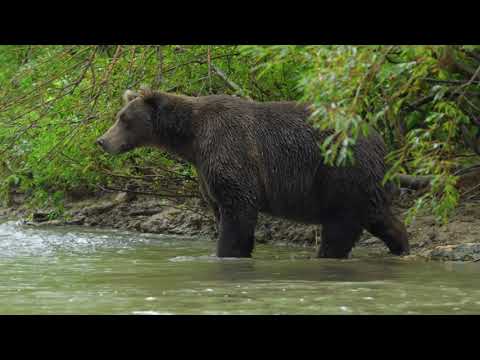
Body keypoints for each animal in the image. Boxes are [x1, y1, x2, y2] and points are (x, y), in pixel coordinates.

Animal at [96, 88, 408, 258]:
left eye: (123, 119)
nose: (102, 141)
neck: (190, 139)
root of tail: (379, 139)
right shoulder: (206, 170)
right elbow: (223, 208)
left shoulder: (230, 149)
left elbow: (238, 210)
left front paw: (226, 251)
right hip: (363, 183)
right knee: (380, 217)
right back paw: (402, 246)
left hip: (340, 174)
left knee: (341, 226)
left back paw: (328, 254)